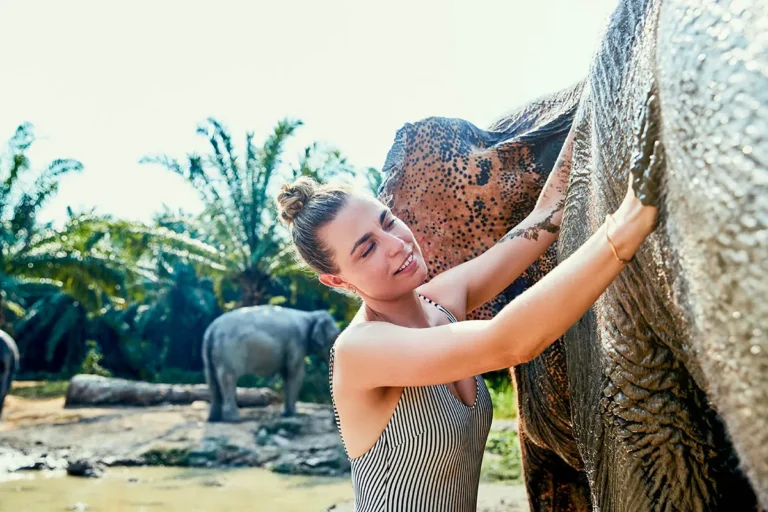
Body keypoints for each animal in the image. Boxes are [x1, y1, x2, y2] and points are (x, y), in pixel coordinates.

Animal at [202, 306, 340, 422]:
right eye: (334, 339)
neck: (311, 315)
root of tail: (211, 329)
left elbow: (286, 374)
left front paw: (286, 414)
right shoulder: (296, 343)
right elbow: (295, 374)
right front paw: (293, 414)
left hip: (210, 355)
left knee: (212, 379)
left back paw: (214, 419)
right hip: (228, 352)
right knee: (228, 378)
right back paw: (234, 419)